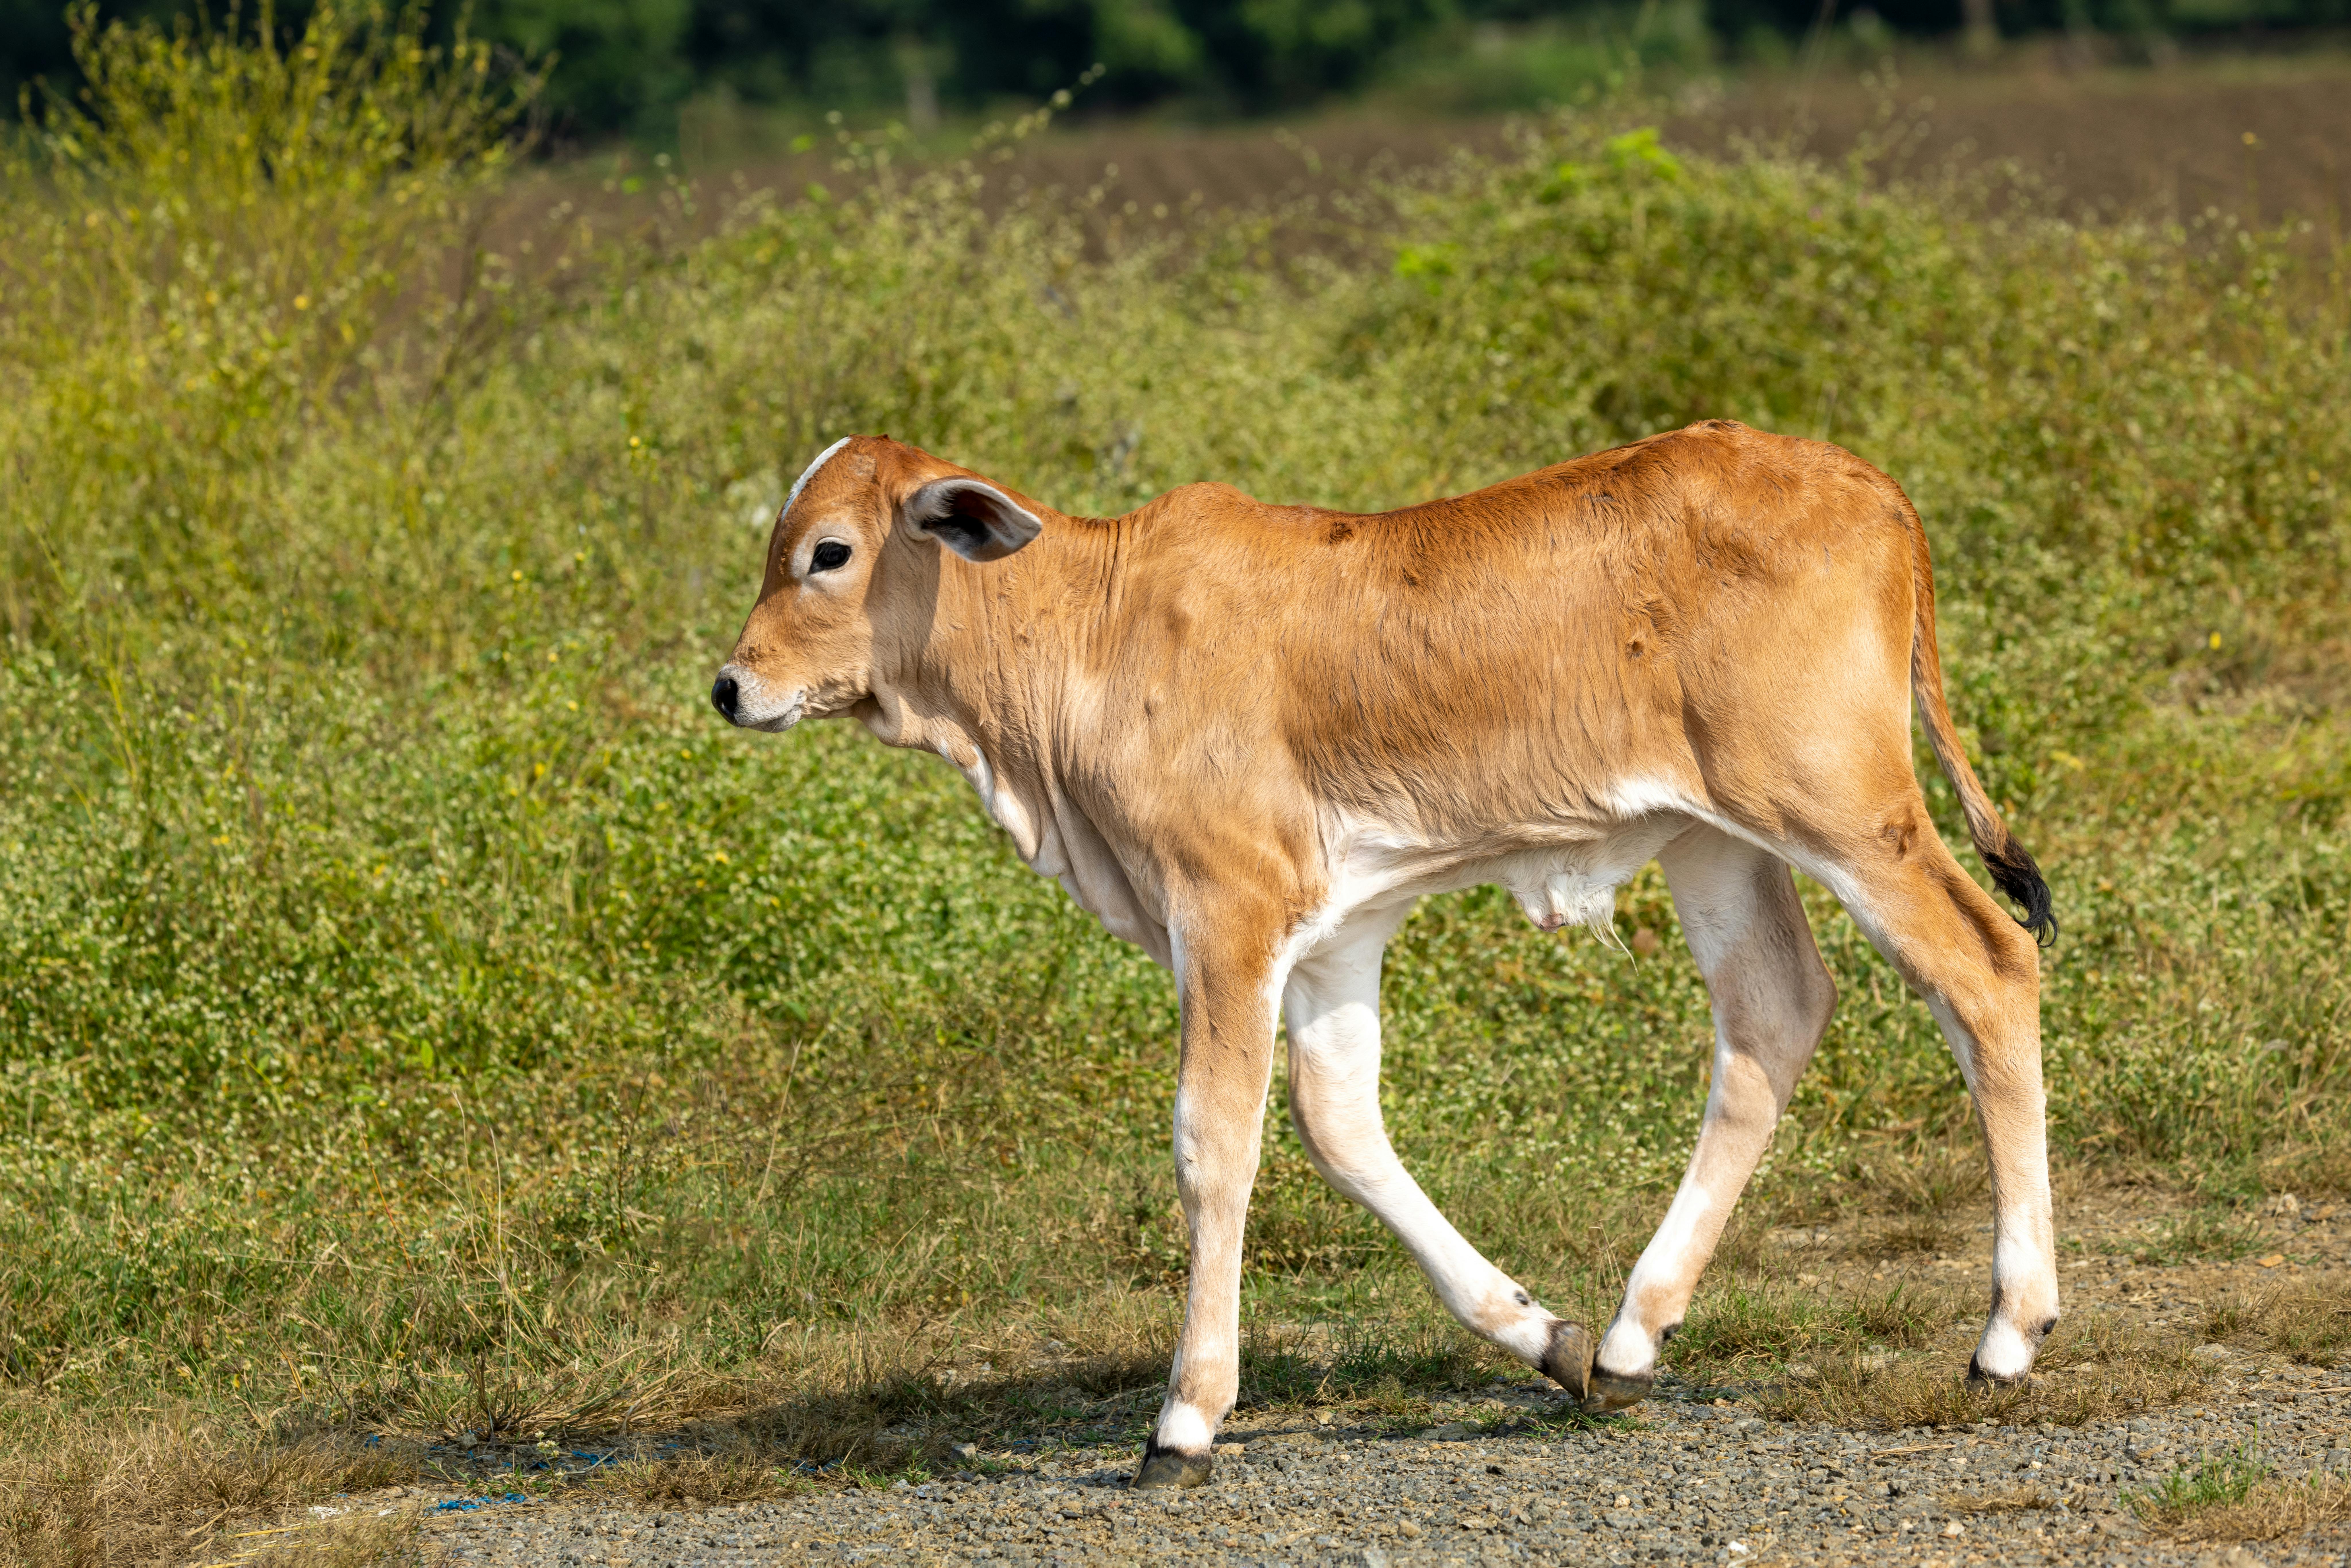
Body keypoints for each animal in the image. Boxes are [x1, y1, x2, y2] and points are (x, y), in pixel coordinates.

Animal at [711, 421, 2058, 1489]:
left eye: (828, 553)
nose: (730, 686)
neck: (1092, 628)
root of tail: (1864, 479)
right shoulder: (1333, 938)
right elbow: (1341, 1129)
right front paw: (1536, 1333)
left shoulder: (1228, 914)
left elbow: (1214, 1145)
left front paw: (1186, 1413)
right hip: (1714, 837)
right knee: (1770, 1016)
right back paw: (1630, 1335)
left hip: (1844, 807)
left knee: (1986, 969)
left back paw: (2008, 1331)